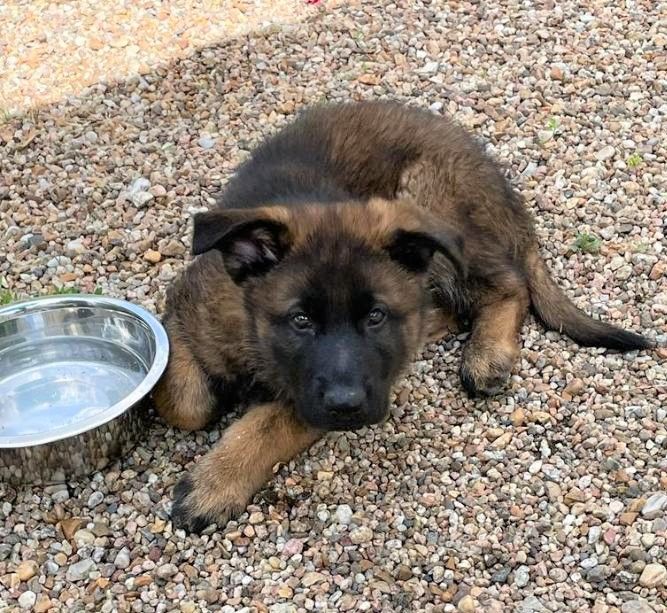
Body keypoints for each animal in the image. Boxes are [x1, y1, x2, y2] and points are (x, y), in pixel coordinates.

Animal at [154, 100, 648, 532]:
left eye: (375, 316)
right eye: (300, 320)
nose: (348, 405)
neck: (259, 345)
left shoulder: (328, 392)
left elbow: (269, 423)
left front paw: (215, 483)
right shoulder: (182, 308)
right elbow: (186, 403)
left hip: (427, 200)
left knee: (509, 282)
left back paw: (488, 353)